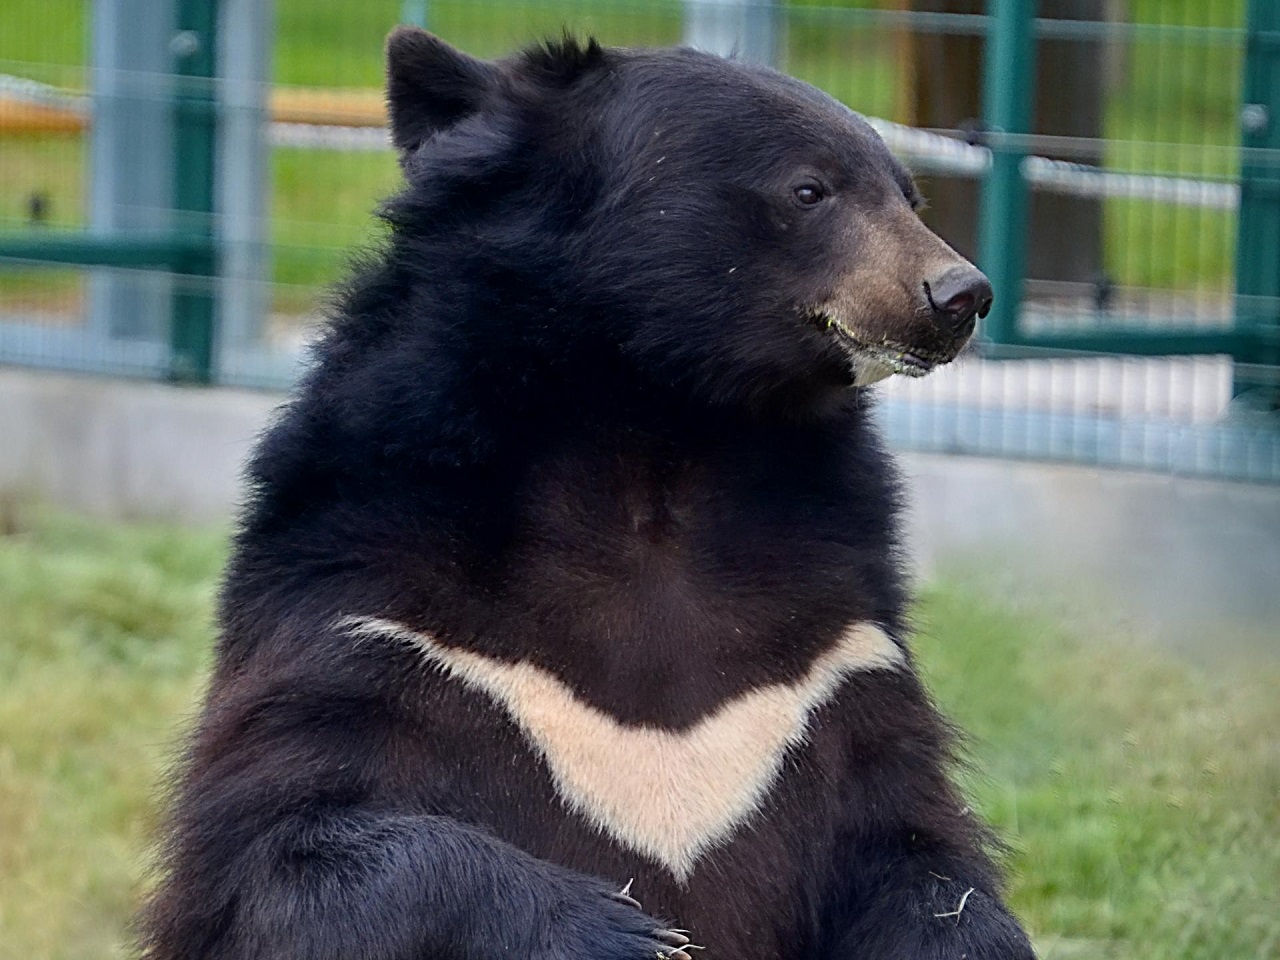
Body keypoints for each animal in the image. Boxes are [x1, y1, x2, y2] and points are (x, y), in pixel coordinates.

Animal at [145, 28, 1034, 960]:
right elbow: (283, 851)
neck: (658, 446)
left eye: (910, 195)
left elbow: (913, 852)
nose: (958, 295)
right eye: (808, 189)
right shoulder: (375, 608)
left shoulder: (833, 661)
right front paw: (631, 935)